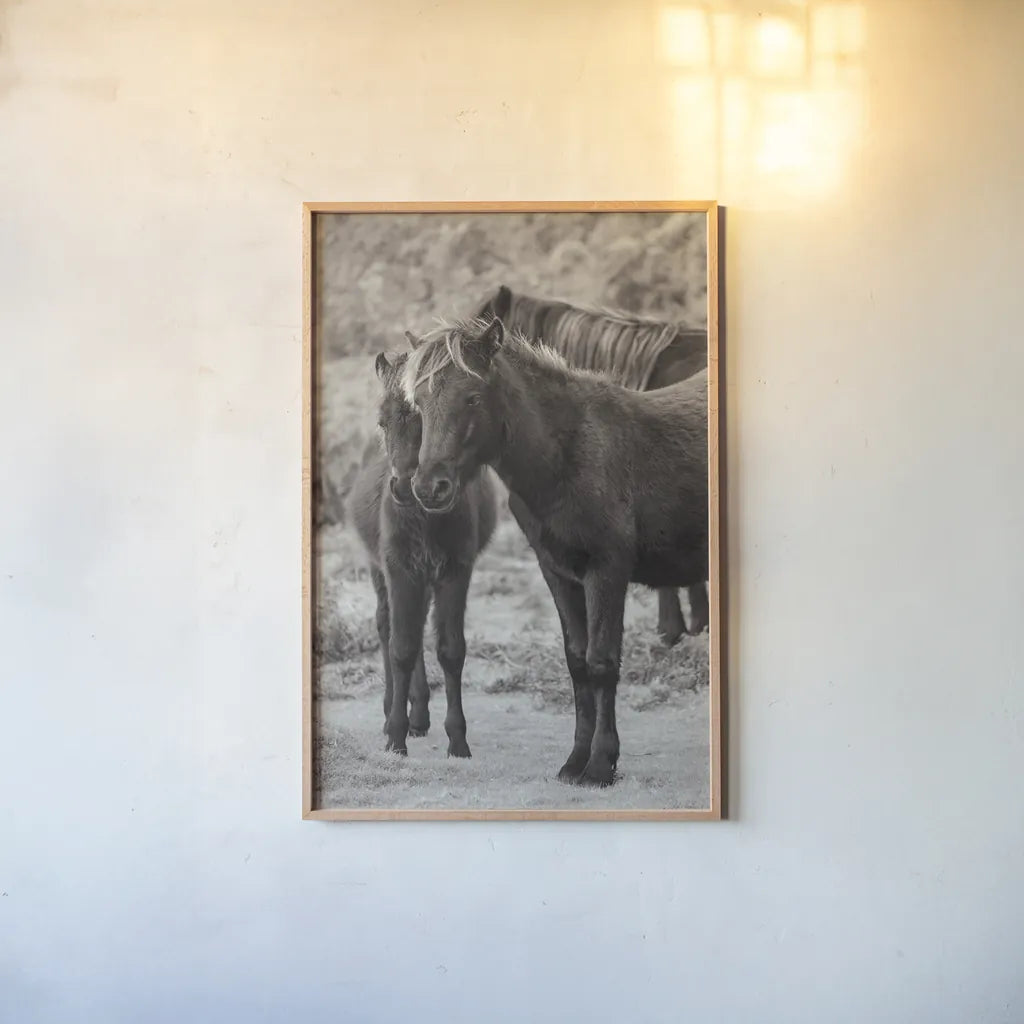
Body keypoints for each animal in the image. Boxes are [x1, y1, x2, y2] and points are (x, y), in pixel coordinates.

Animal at [345, 351, 497, 758]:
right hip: (382, 572)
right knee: (388, 627)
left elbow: (450, 650)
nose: (402, 487)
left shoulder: (454, 572)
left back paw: (420, 716)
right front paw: (395, 735)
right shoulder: (399, 570)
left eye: (422, 420)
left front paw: (457, 739)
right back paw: (394, 714)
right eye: (382, 422)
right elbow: (401, 647)